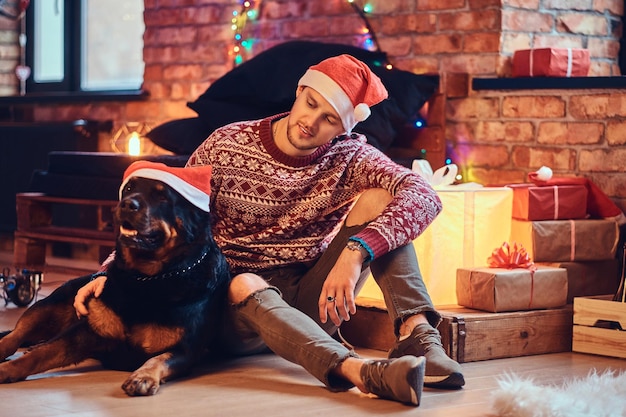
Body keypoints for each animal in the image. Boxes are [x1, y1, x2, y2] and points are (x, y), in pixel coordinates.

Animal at [0, 161, 229, 394]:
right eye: (128, 189)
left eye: (162, 196)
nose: (127, 204)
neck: (147, 279)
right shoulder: (85, 332)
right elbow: (41, 354)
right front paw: (7, 369)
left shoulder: (185, 350)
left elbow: (159, 359)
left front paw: (143, 376)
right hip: (48, 306)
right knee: (15, 336)